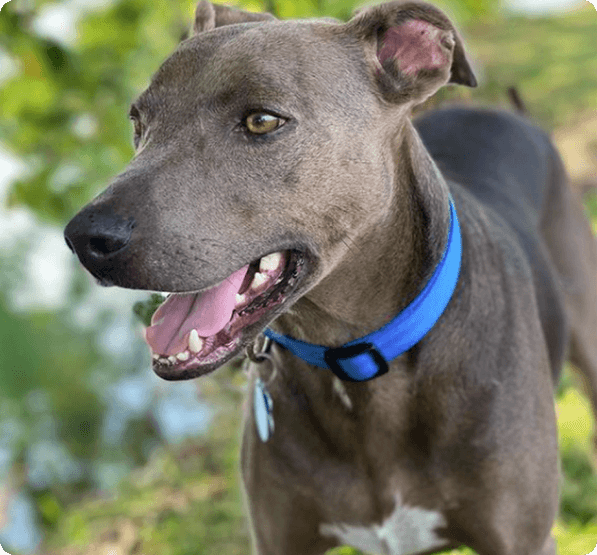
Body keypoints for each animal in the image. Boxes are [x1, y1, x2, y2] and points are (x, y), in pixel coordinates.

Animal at [61, 2, 597, 552]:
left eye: (261, 121)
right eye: (138, 121)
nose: (84, 238)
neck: (354, 360)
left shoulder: (524, 538)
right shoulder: (279, 537)